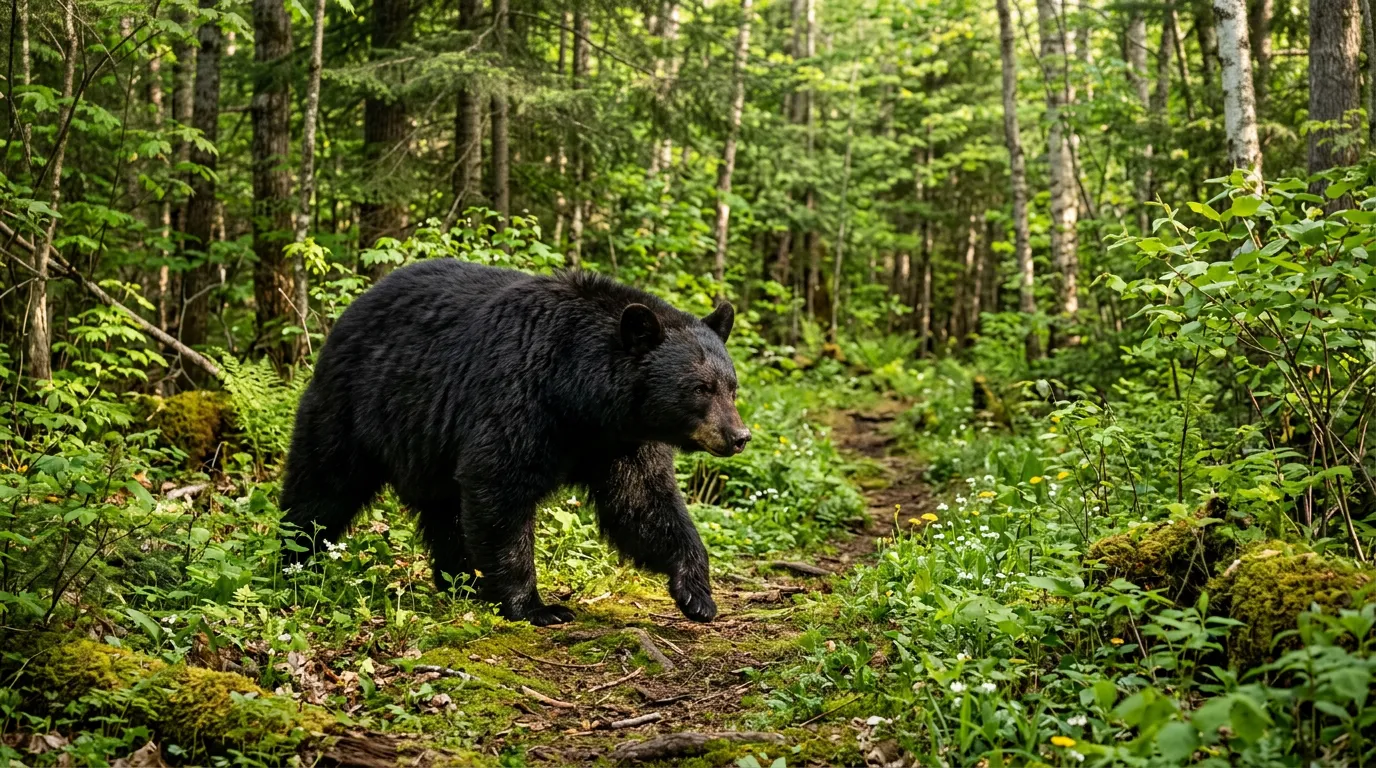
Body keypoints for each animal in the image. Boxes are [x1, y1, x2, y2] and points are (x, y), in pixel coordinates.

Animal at [279, 259, 751, 626]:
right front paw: (536, 606)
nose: (739, 436)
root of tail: (353, 307)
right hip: (355, 406)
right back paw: (294, 562)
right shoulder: (520, 400)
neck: (581, 398)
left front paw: (697, 593)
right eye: (700, 388)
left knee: (444, 513)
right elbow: (499, 489)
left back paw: (461, 582)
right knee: (322, 485)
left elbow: (643, 503)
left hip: (427, 445)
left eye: (731, 386)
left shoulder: (622, 443)